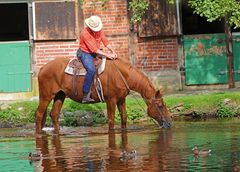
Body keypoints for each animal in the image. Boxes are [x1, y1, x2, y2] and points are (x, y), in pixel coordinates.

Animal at [34, 57, 172, 134]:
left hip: (60, 95)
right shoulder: (111, 100)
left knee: (54, 114)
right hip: (46, 96)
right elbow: (111, 120)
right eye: (160, 106)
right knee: (39, 114)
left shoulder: (121, 99)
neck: (122, 74)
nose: (170, 123)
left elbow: (124, 117)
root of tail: (43, 68)